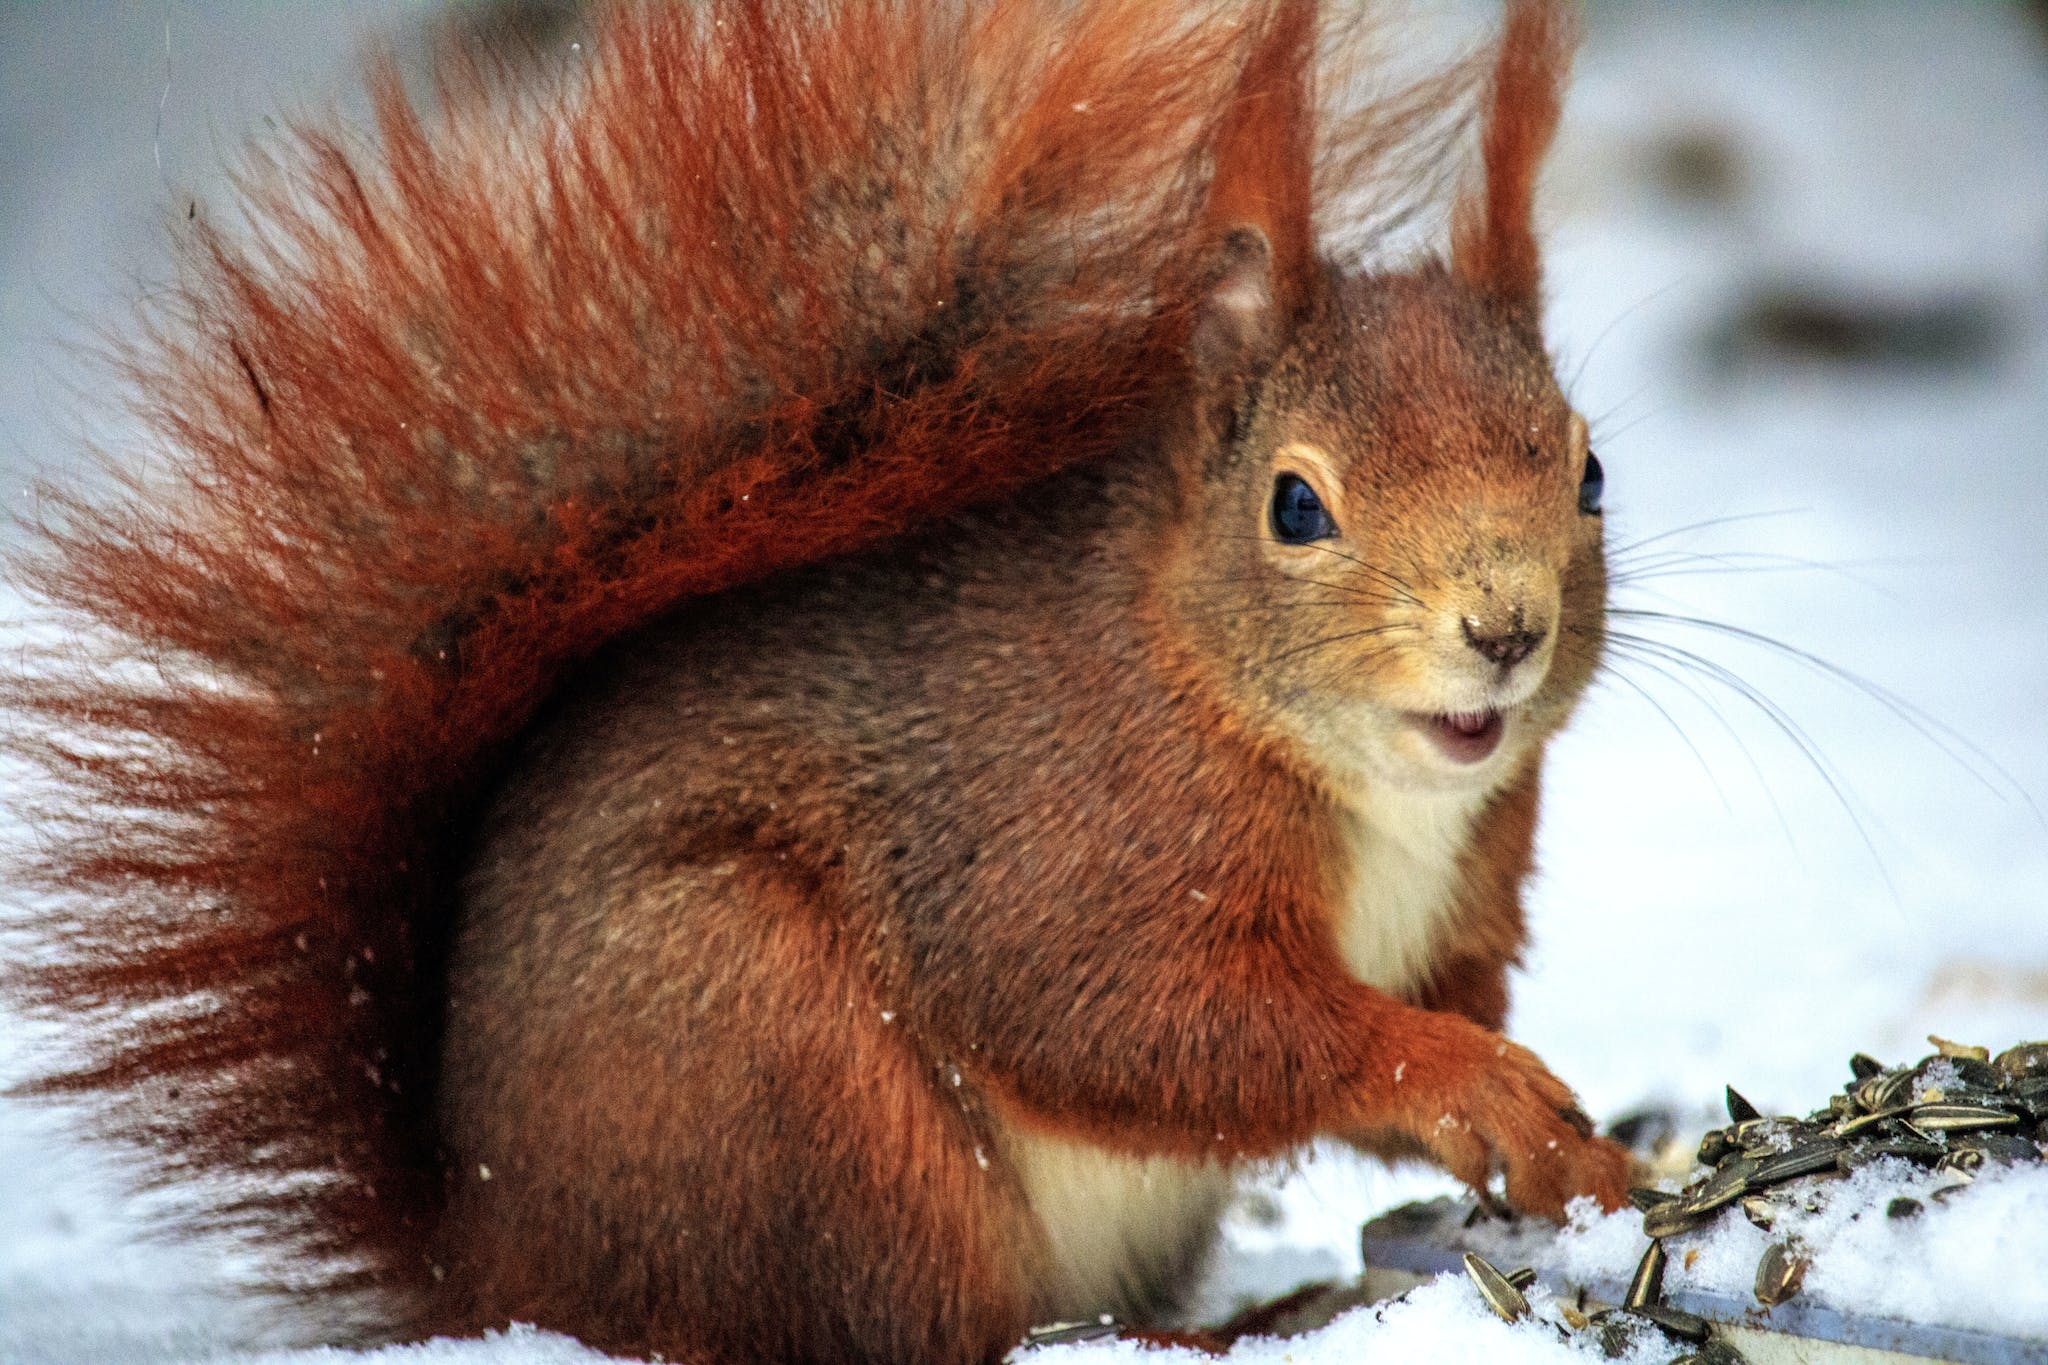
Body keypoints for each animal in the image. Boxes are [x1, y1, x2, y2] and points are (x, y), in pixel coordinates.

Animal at [0, 0, 1630, 1358]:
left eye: (1589, 470)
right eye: (1296, 506)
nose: (1505, 628)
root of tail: (498, 1268)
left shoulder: (1468, 890)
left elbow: (1437, 1004)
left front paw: (1580, 1152)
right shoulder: (1061, 837)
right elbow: (1137, 1021)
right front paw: (1464, 1080)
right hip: (784, 1075)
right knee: (897, 1327)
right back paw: (1186, 1341)